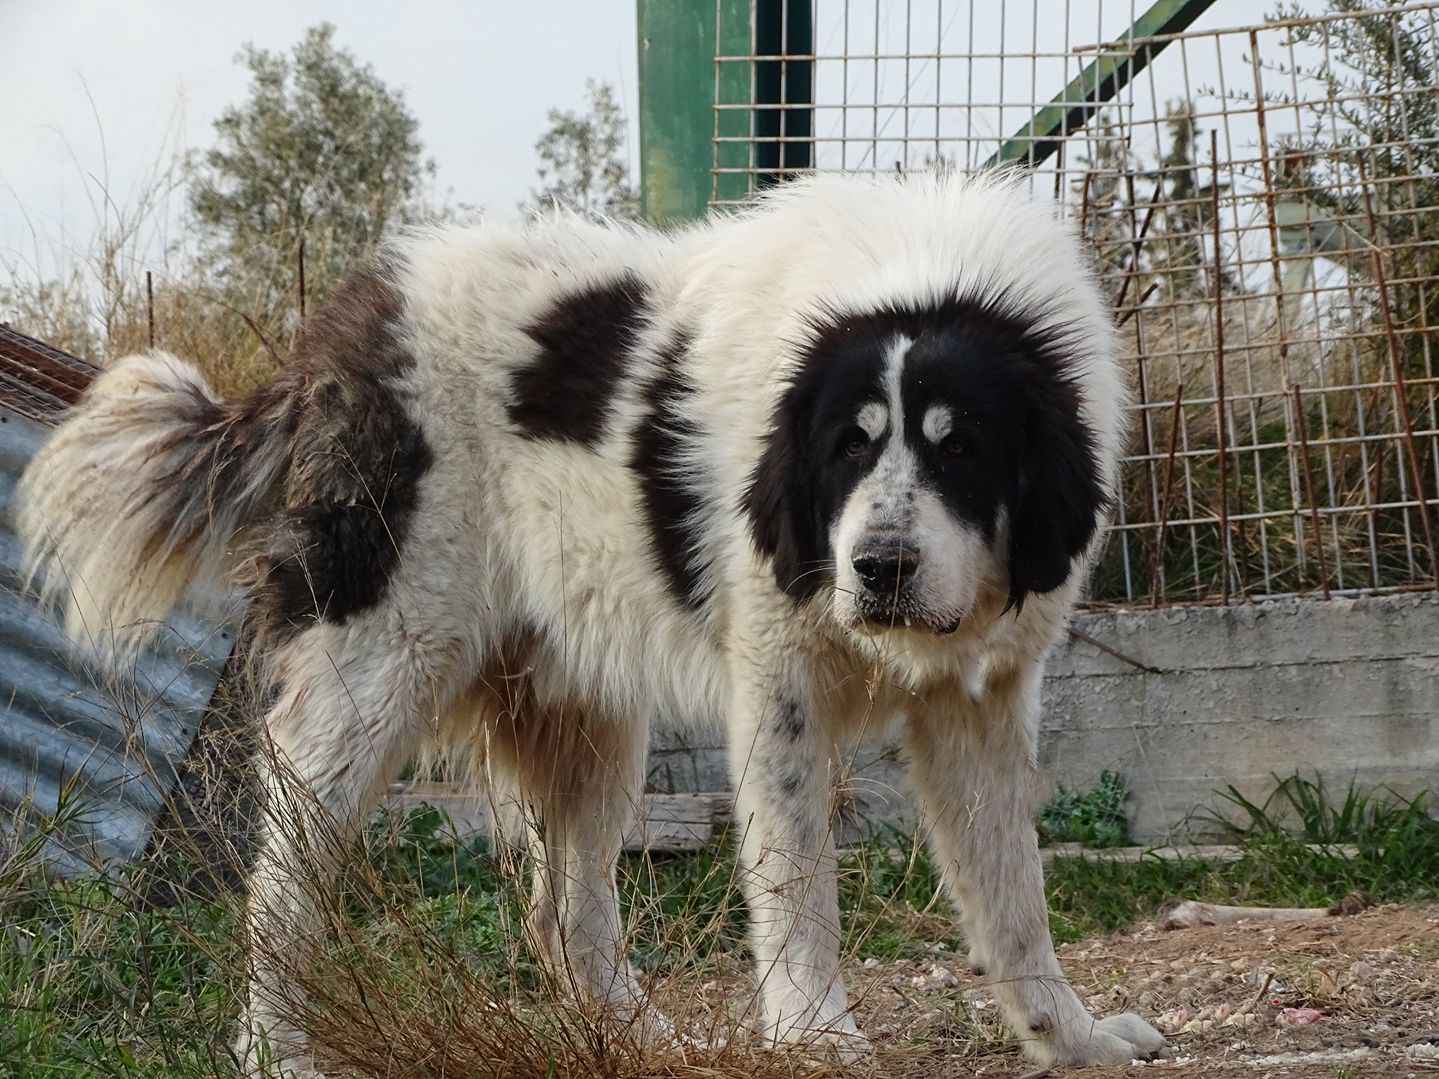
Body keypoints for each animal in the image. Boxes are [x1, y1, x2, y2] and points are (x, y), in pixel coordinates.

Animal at [19, 171, 1168, 1076]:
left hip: (590, 724)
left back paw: (645, 1039)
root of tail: (334, 338)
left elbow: (1014, 900)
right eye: (849, 445)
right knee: (278, 894)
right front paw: (816, 1035)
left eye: (959, 447)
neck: (919, 271)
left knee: (565, 920)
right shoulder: (780, 691)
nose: (877, 567)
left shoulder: (981, 707)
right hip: (367, 686)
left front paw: (1068, 1037)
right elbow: (799, 888)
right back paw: (274, 1051)